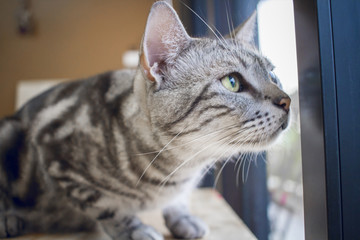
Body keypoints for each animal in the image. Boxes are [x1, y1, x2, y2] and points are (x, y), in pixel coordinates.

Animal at [0, 1, 290, 240]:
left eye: (273, 76)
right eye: (232, 82)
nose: (287, 101)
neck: (181, 169)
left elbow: (179, 201)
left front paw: (181, 216)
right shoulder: (57, 157)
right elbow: (105, 206)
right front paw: (134, 229)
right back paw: (10, 220)